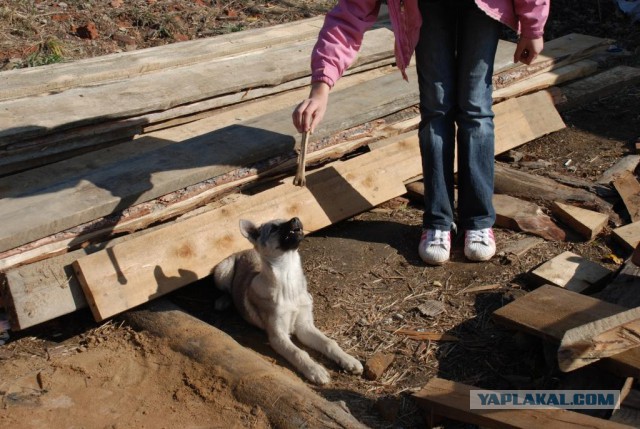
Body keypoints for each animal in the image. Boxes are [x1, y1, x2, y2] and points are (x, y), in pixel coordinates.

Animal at [214, 216, 362, 382]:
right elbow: (298, 352)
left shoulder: (305, 326)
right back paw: (222, 301)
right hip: (222, 272)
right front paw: (315, 369)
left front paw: (348, 359)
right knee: (227, 289)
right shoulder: (278, 337)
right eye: (273, 228)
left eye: (285, 218)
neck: (288, 279)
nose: (296, 219)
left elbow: (329, 342)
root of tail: (242, 250)